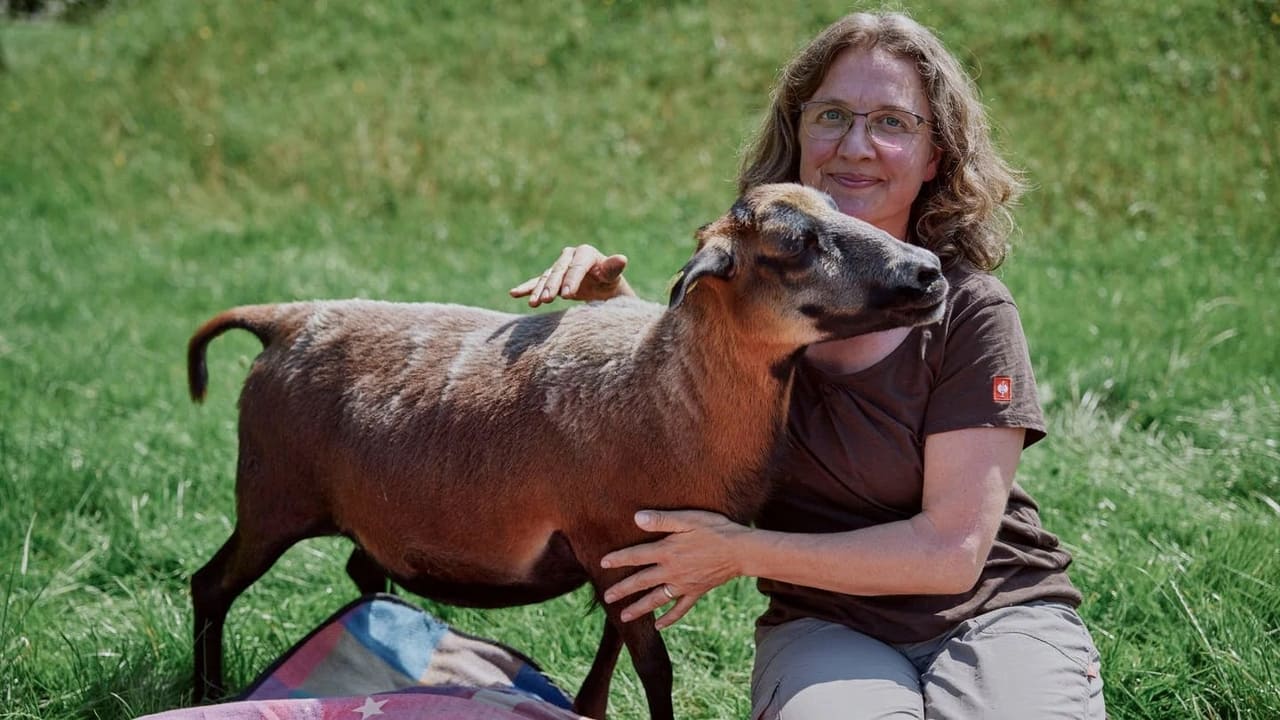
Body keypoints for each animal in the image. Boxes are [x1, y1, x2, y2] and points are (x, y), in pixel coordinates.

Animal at [185, 180, 947, 717]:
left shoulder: (628, 558)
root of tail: (287, 319)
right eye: (793, 243)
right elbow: (655, 668)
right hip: (272, 497)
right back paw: (206, 692)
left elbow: (615, 652)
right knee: (209, 586)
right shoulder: (607, 538)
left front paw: (587, 709)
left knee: (359, 570)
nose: (930, 273)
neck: (669, 391)